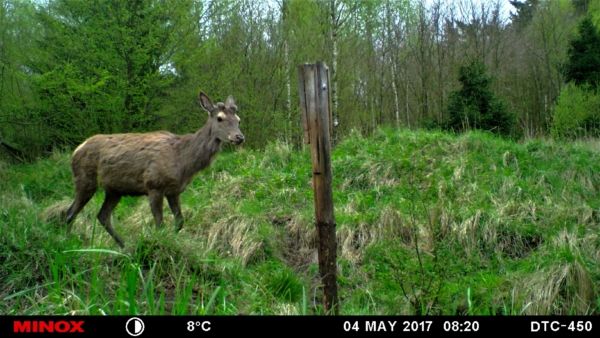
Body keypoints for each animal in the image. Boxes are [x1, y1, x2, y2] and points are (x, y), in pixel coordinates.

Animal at [64, 91, 243, 247]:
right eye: (220, 118)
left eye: (238, 119)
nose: (239, 137)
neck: (183, 162)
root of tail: (76, 150)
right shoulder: (154, 185)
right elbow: (160, 224)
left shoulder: (174, 191)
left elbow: (179, 222)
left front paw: (172, 240)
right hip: (85, 180)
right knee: (69, 213)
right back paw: (66, 243)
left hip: (114, 190)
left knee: (102, 216)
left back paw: (123, 246)